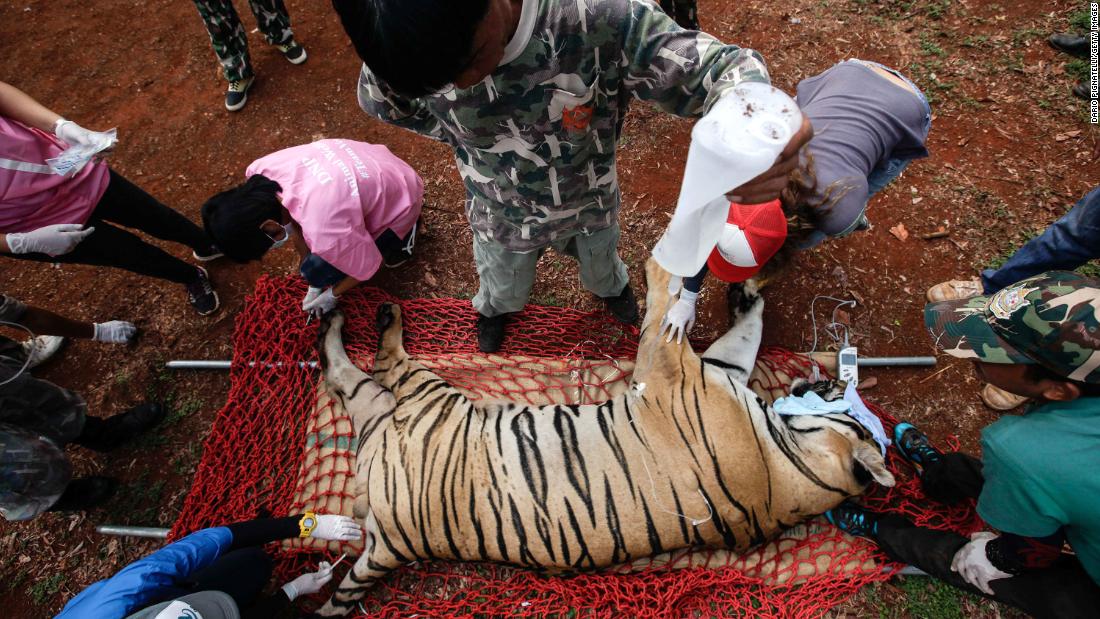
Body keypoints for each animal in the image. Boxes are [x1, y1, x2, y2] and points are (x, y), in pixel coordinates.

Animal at [312, 258, 893, 615]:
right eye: (839, 393)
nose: (822, 380)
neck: (791, 460)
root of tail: (389, 536)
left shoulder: (674, 374)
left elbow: (662, 316)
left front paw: (665, 270)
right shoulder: (722, 371)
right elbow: (743, 334)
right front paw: (745, 294)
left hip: (424, 399)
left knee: (379, 363)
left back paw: (375, 317)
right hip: (378, 409)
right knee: (344, 372)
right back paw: (334, 321)